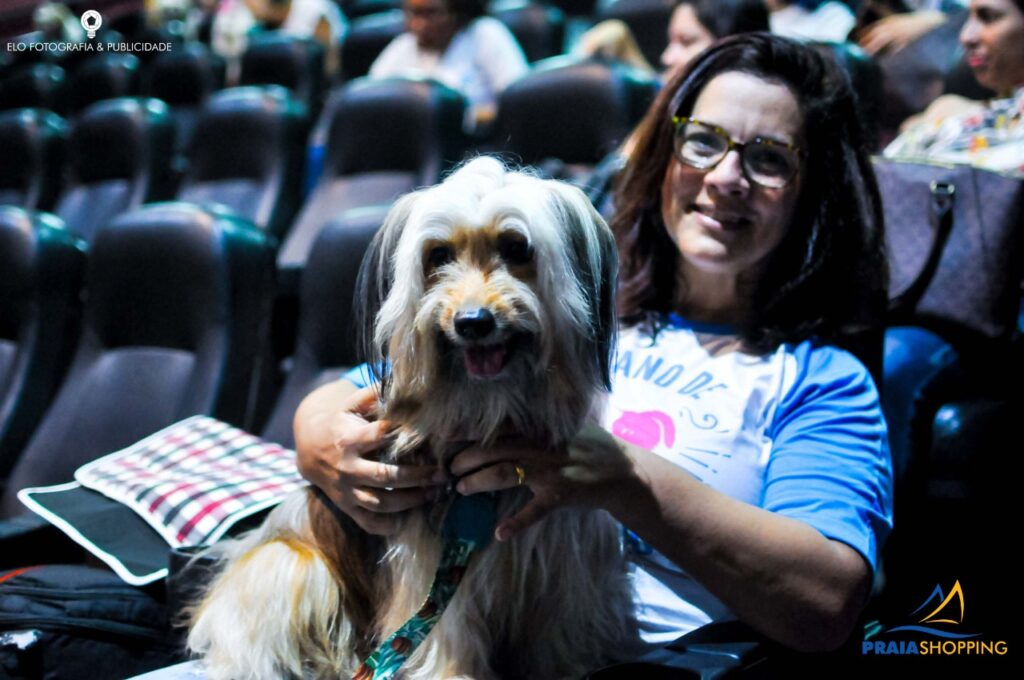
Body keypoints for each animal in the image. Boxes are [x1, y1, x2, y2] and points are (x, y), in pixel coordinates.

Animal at [184, 157, 630, 680]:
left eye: (516, 248)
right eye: (438, 255)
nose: (472, 322)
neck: (489, 411)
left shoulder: (560, 558)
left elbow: (559, 630)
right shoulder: (436, 563)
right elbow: (447, 630)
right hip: (289, 565)